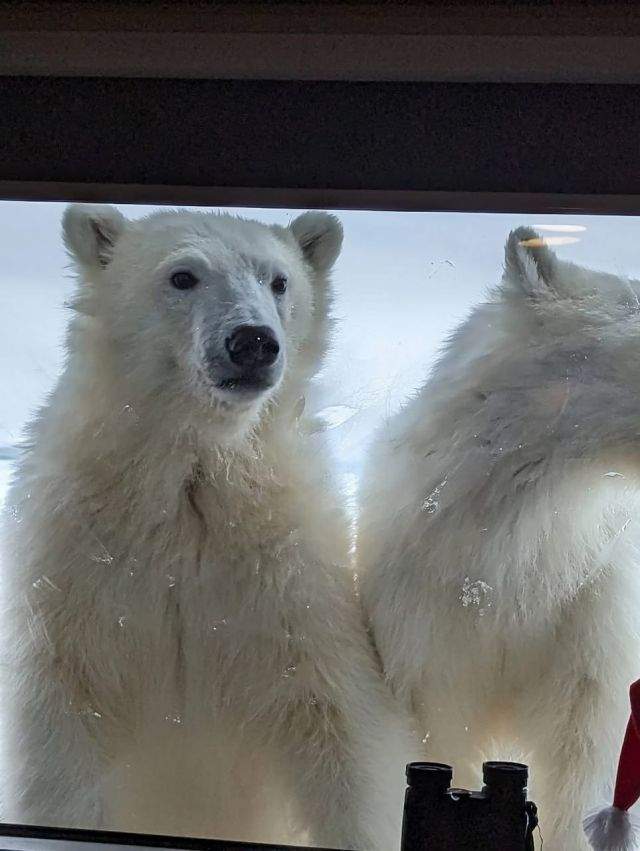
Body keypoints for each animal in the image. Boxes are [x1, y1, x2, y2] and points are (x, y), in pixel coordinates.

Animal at [2, 206, 412, 851]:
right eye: (183, 276)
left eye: (279, 280)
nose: (252, 342)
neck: (190, 485)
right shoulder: (78, 574)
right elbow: (59, 733)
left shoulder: (286, 580)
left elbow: (338, 722)